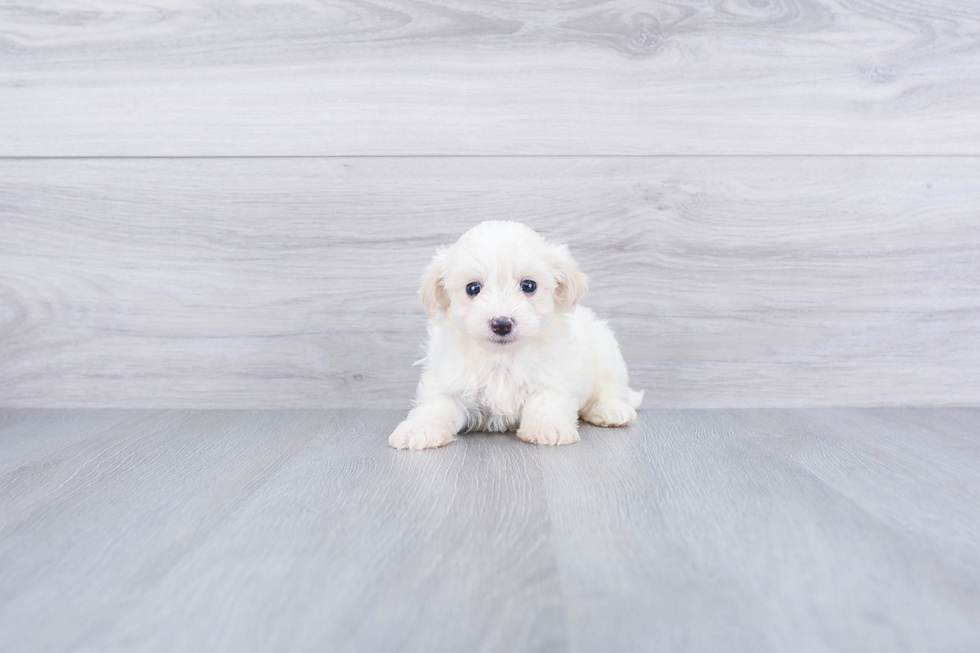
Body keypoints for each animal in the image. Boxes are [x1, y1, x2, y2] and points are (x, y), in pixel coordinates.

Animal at [390, 222, 644, 450]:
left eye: (529, 285)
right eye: (473, 288)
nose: (502, 324)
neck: (501, 357)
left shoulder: (554, 378)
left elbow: (544, 402)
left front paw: (547, 428)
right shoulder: (449, 381)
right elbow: (435, 407)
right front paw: (417, 429)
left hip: (606, 353)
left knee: (611, 389)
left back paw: (610, 410)